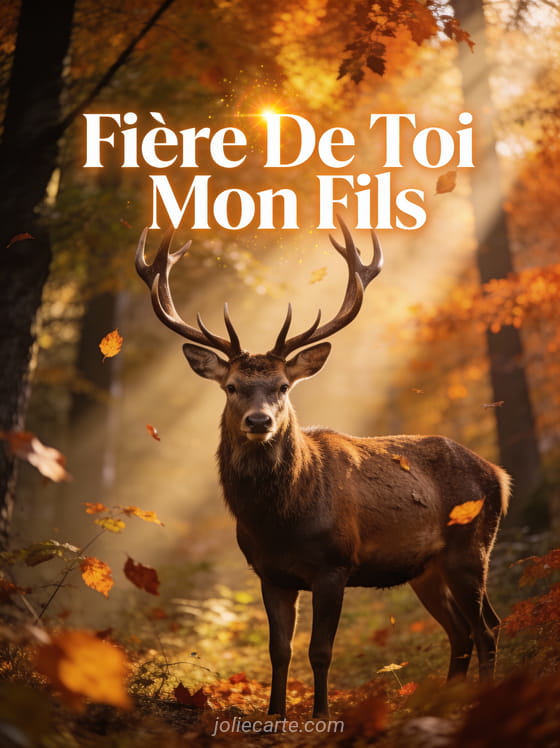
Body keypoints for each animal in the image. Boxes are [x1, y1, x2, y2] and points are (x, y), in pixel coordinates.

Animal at [136, 220, 511, 718]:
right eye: (232, 386)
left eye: (282, 387)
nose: (260, 421)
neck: (279, 522)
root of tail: (500, 477)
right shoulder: (270, 573)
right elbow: (280, 650)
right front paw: (274, 714)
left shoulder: (335, 565)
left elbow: (320, 650)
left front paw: (321, 714)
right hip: (427, 569)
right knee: (463, 630)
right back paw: (442, 705)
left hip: (470, 548)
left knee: (486, 627)